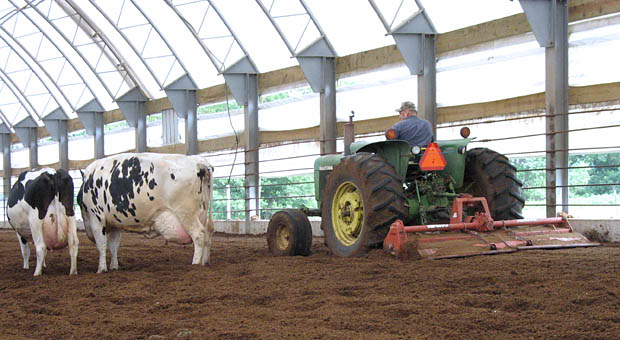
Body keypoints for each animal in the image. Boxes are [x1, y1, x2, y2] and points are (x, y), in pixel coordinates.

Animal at [77, 153, 216, 272]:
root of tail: (199, 162)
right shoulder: (115, 223)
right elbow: (113, 246)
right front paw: (114, 266)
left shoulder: (96, 217)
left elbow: (101, 244)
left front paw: (101, 269)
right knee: (208, 234)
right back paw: (205, 262)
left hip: (186, 213)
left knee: (199, 235)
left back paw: (195, 264)